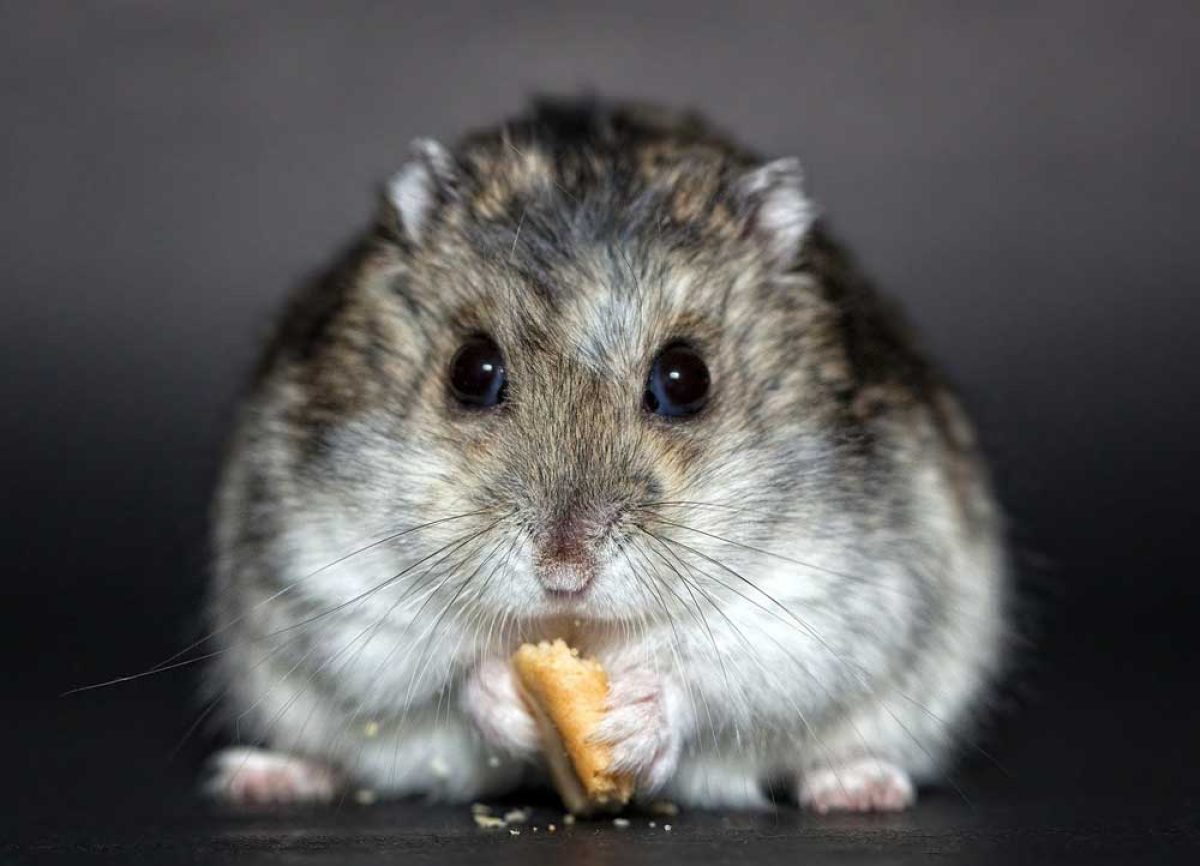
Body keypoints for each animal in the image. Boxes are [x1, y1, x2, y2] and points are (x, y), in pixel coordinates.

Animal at [203, 99, 1007, 812]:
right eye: (471, 371)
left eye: (685, 380)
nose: (565, 575)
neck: (582, 629)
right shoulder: (332, 579)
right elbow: (438, 670)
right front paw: (507, 694)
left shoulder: (825, 597)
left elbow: (717, 674)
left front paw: (630, 721)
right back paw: (264, 777)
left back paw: (859, 788)